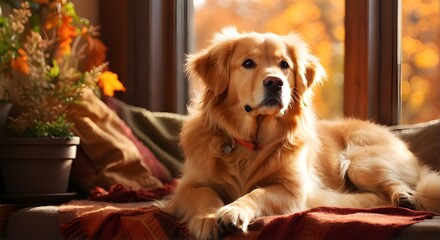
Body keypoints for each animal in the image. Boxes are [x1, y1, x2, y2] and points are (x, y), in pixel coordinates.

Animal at [162, 27, 440, 238]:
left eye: (284, 65)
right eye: (248, 63)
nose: (275, 82)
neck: (251, 141)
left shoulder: (292, 191)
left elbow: (257, 193)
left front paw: (234, 211)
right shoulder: (186, 187)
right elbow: (205, 193)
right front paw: (207, 218)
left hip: (359, 161)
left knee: (395, 184)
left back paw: (403, 197)